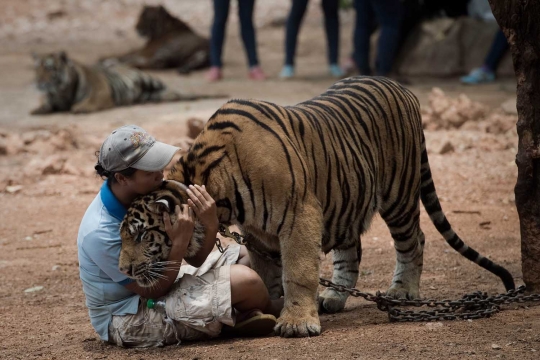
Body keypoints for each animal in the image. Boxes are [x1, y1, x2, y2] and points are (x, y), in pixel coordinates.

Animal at [31, 50, 213, 114]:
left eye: (49, 68)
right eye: (36, 69)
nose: (38, 82)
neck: (61, 91)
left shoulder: (101, 92)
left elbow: (89, 101)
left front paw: (80, 107)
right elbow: (46, 103)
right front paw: (38, 108)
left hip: (149, 80)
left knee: (172, 91)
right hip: (149, 93)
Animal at [118, 76, 516, 338]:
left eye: (142, 235)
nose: (123, 269)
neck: (218, 191)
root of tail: (403, 88)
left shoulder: (298, 213)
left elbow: (297, 269)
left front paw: (295, 322)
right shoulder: (259, 232)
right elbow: (267, 272)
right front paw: (272, 305)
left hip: (399, 195)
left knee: (413, 239)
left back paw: (402, 291)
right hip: (345, 198)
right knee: (351, 251)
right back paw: (334, 297)